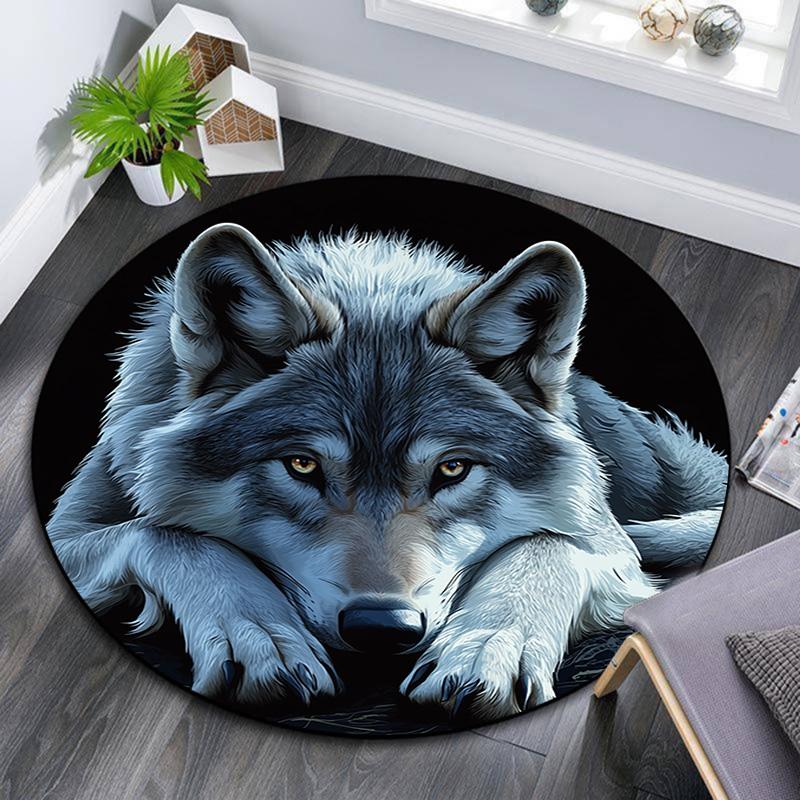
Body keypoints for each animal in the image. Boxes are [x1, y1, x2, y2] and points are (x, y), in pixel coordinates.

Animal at [48, 224, 727, 720]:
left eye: (453, 468)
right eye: (302, 465)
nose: (382, 627)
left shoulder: (604, 538)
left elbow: (545, 545)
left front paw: (485, 650)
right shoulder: (67, 532)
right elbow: (166, 533)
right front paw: (259, 634)